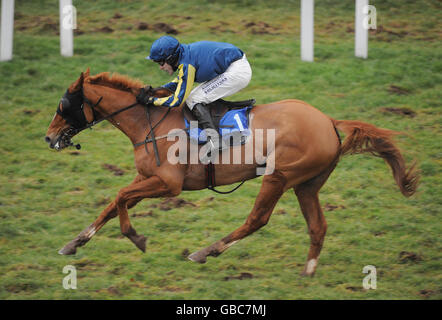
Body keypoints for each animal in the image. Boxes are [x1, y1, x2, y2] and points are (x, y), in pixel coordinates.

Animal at [45, 70, 418, 276]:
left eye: (64, 106)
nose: (49, 138)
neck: (151, 122)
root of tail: (328, 120)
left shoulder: (168, 184)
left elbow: (121, 198)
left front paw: (135, 236)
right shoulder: (146, 178)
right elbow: (113, 203)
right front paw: (73, 243)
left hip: (279, 176)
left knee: (257, 220)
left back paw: (205, 251)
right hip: (307, 185)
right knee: (318, 226)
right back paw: (308, 271)